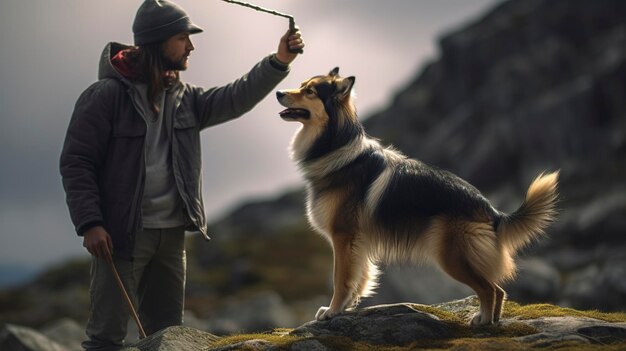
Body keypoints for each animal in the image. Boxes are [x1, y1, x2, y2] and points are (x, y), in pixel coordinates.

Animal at [276, 67, 560, 326]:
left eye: (310, 91)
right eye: (301, 85)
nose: (278, 92)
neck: (335, 147)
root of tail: (490, 209)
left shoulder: (344, 236)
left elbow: (341, 278)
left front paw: (333, 310)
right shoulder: (359, 242)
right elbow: (360, 277)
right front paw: (346, 307)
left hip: (452, 256)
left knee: (489, 288)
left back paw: (484, 322)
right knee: (498, 289)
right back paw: (492, 319)